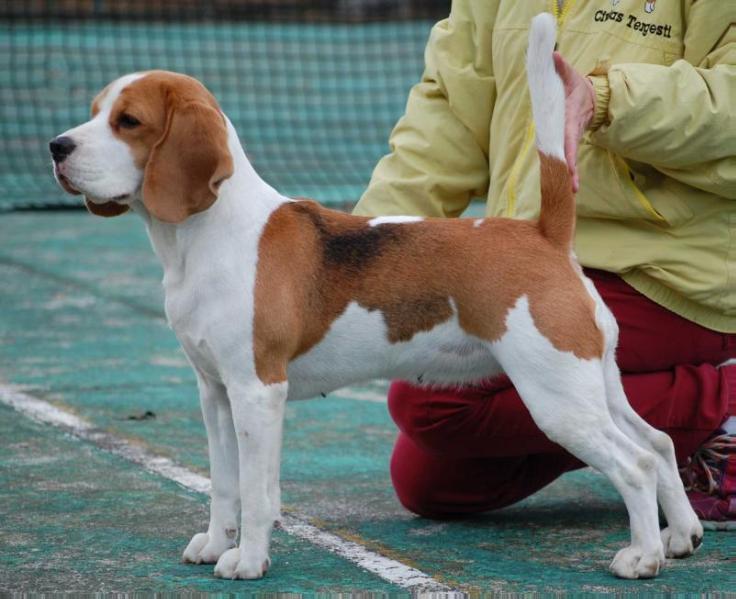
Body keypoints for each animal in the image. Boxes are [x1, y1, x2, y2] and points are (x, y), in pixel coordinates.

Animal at [49, 15, 704, 580]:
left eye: (128, 121)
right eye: (93, 113)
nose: (56, 147)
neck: (204, 235)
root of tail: (542, 234)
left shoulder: (258, 392)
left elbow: (257, 492)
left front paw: (248, 560)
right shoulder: (214, 393)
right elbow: (224, 485)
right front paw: (214, 543)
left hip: (556, 398)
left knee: (635, 464)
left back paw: (642, 557)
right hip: (593, 381)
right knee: (658, 443)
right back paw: (680, 536)